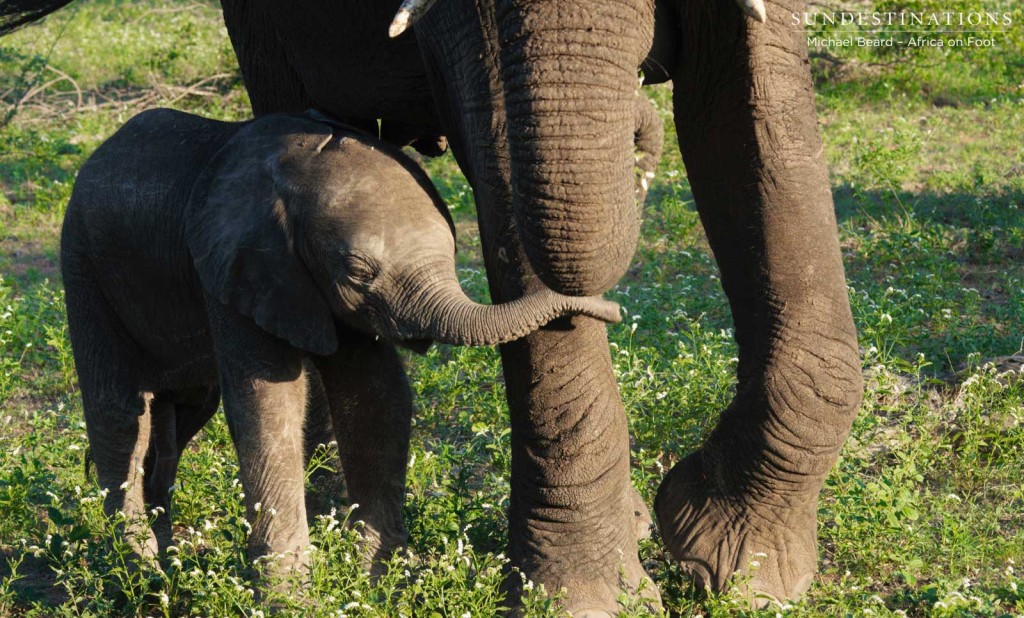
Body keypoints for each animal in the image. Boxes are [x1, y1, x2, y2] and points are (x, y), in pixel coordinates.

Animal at [61, 107, 622, 581]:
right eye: (356, 271)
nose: (610, 308)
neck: (297, 161)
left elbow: (373, 395)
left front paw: (380, 578)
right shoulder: (235, 267)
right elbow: (269, 404)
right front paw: (289, 596)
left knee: (181, 412)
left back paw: (165, 561)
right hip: (83, 263)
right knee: (120, 412)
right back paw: (134, 568)